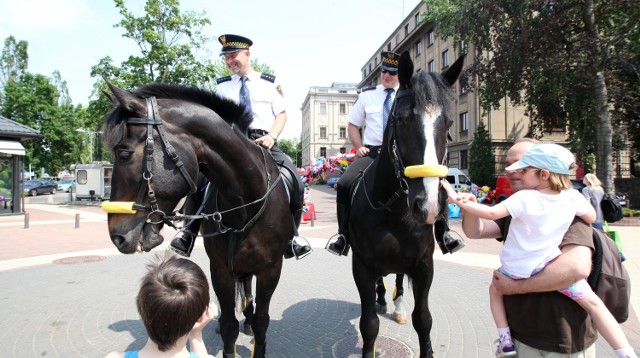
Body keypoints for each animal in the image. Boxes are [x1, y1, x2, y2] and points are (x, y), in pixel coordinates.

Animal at [101, 82, 294, 358]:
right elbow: (229, 325)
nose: (117, 235)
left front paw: (253, 326)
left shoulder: (271, 269)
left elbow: (261, 322)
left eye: (124, 154)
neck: (245, 206)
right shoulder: (220, 269)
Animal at [348, 51, 462, 356]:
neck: (393, 210)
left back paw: (397, 305)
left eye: (448, 123)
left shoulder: (423, 265)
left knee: (398, 279)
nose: (428, 206)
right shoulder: (362, 266)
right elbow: (369, 325)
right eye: (400, 120)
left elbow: (423, 320)